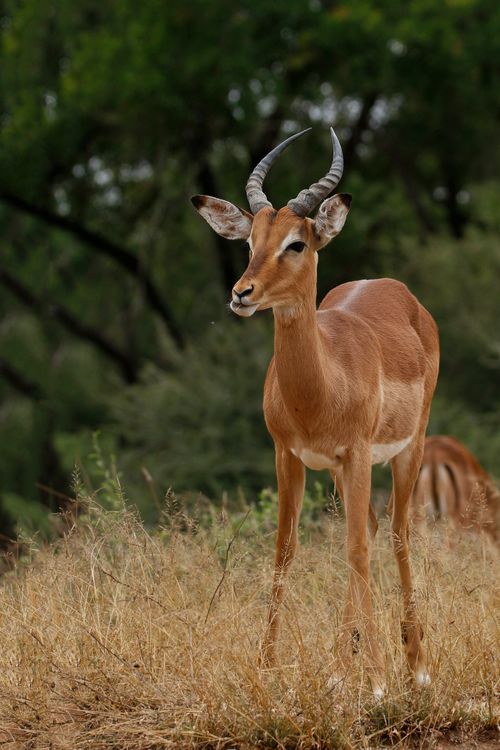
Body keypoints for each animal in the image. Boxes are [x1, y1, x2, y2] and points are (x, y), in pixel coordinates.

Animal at [191, 127, 439, 696]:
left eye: (296, 242)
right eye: (250, 242)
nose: (241, 293)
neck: (320, 387)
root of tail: (397, 289)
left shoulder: (357, 453)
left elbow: (356, 551)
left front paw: (378, 681)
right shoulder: (289, 455)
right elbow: (286, 550)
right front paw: (267, 668)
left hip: (408, 450)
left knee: (396, 532)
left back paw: (415, 667)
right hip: (346, 471)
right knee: (370, 527)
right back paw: (341, 670)